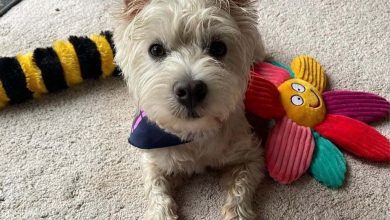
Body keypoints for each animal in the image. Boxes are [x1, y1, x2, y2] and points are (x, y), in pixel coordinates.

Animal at [112, 0, 266, 219]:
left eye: (218, 48)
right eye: (156, 49)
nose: (190, 90)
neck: (193, 134)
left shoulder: (249, 155)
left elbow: (241, 188)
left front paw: (236, 213)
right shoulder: (154, 161)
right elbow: (156, 190)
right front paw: (161, 213)